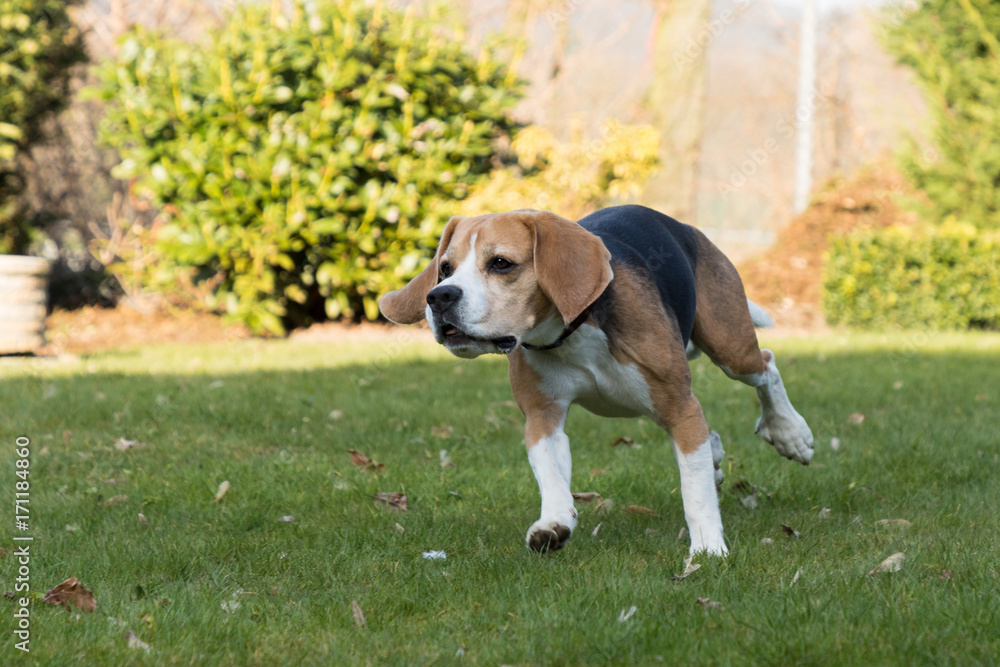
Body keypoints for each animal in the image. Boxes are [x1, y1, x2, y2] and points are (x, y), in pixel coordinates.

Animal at [376, 206, 812, 556]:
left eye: (501, 263)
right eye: (445, 268)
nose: (439, 297)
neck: (572, 330)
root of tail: (687, 227)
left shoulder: (680, 407)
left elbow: (695, 489)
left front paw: (707, 548)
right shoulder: (542, 417)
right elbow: (550, 472)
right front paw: (554, 522)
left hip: (730, 349)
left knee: (766, 366)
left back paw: (789, 431)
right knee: (716, 432)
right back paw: (721, 452)